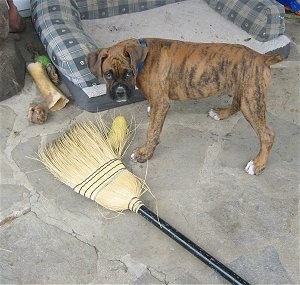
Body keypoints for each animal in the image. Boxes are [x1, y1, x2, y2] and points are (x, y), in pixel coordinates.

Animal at [86, 38, 284, 175]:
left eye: (128, 73)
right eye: (108, 74)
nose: (120, 93)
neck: (143, 58)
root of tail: (262, 57)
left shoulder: (162, 103)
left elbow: (152, 131)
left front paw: (144, 153)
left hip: (251, 101)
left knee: (267, 135)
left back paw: (258, 164)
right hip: (242, 91)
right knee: (236, 103)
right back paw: (221, 113)